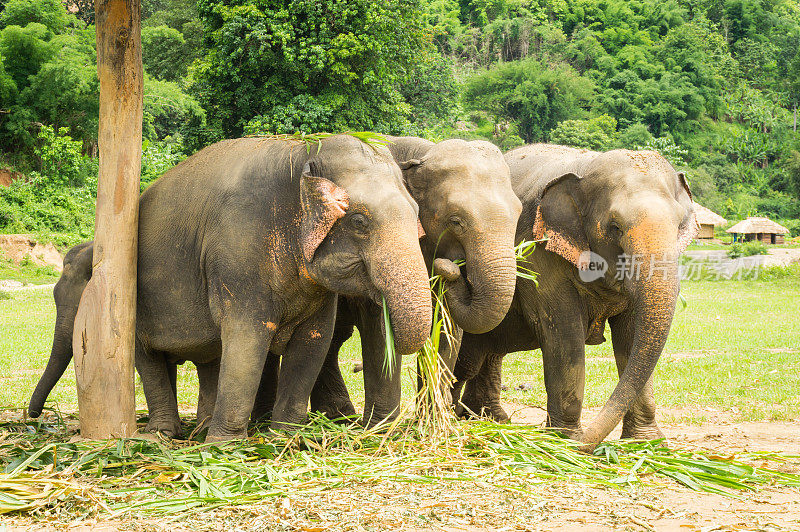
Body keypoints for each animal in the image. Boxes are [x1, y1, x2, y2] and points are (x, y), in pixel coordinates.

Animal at [28, 135, 434, 442]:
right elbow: (247, 338)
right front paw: (224, 448)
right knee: (150, 357)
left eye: (418, 214)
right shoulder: (238, 251)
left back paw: (199, 429)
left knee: (208, 359)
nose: (34, 418)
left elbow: (313, 344)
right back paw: (166, 434)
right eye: (360, 221)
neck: (301, 153)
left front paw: (284, 438)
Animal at [253, 138, 520, 428]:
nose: (450, 268)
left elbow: (447, 328)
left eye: (519, 214)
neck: (422, 153)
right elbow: (378, 324)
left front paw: (434, 422)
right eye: (456, 221)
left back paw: (339, 416)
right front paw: (383, 427)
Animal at [454, 144, 696, 448]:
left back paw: (489, 420)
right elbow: (564, 335)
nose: (588, 445)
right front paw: (565, 441)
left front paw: (646, 445)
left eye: (678, 225)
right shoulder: (539, 252)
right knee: (468, 357)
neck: (586, 167)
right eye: (615, 227)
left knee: (489, 352)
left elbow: (631, 338)